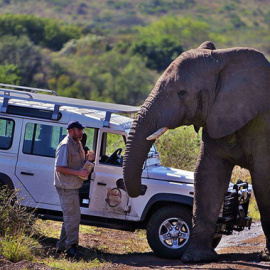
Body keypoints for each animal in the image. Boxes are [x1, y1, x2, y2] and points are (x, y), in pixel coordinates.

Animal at [123, 41, 270, 262]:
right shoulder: (217, 115)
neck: (224, 60)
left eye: (182, 93)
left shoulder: (264, 124)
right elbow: (208, 175)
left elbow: (263, 180)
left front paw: (266, 256)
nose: (140, 188)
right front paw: (196, 258)